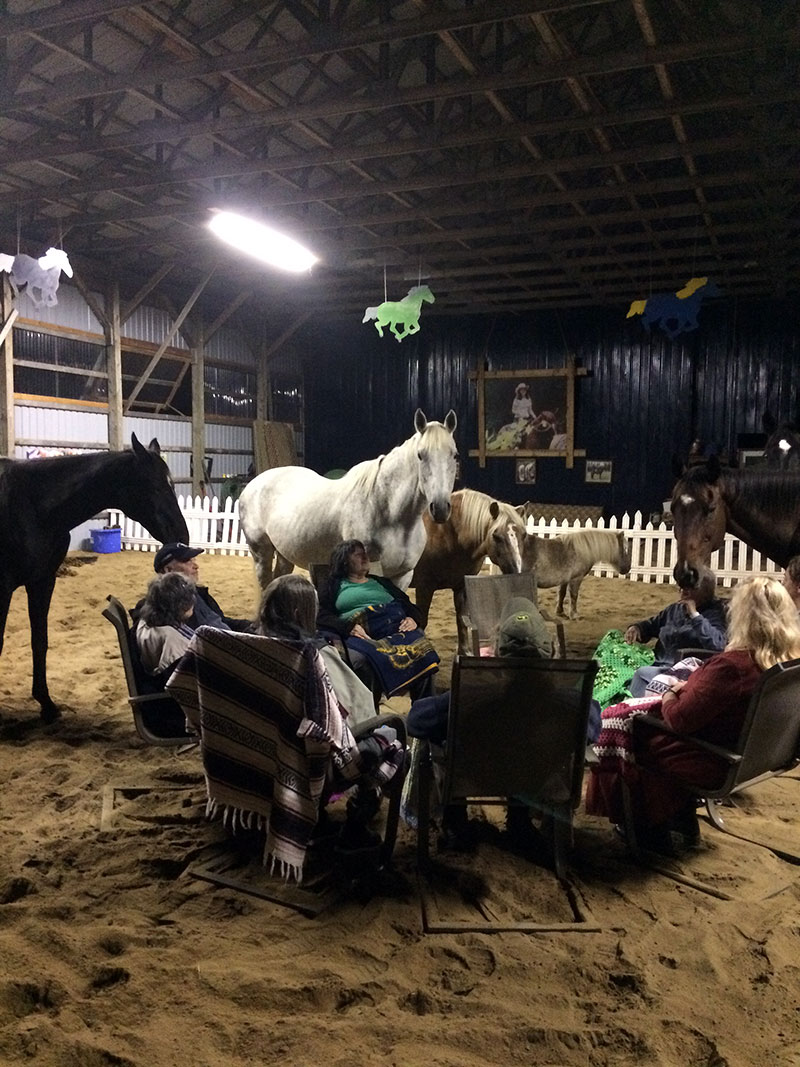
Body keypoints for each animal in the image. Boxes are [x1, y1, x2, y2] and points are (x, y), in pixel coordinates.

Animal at [0, 435, 189, 725]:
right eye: (155, 486)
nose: (182, 537)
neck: (33, 505)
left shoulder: (42, 582)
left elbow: (39, 642)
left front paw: (47, 705)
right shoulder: (3, 587)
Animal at [240, 407, 456, 593]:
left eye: (455, 455)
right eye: (420, 455)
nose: (440, 508)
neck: (392, 516)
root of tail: (254, 484)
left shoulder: (403, 575)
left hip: (285, 553)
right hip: (261, 553)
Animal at [413, 488, 539, 653]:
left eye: (524, 535)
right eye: (496, 536)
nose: (515, 571)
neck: (445, 534)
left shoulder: (461, 587)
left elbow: (461, 619)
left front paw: (464, 651)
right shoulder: (424, 588)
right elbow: (421, 622)